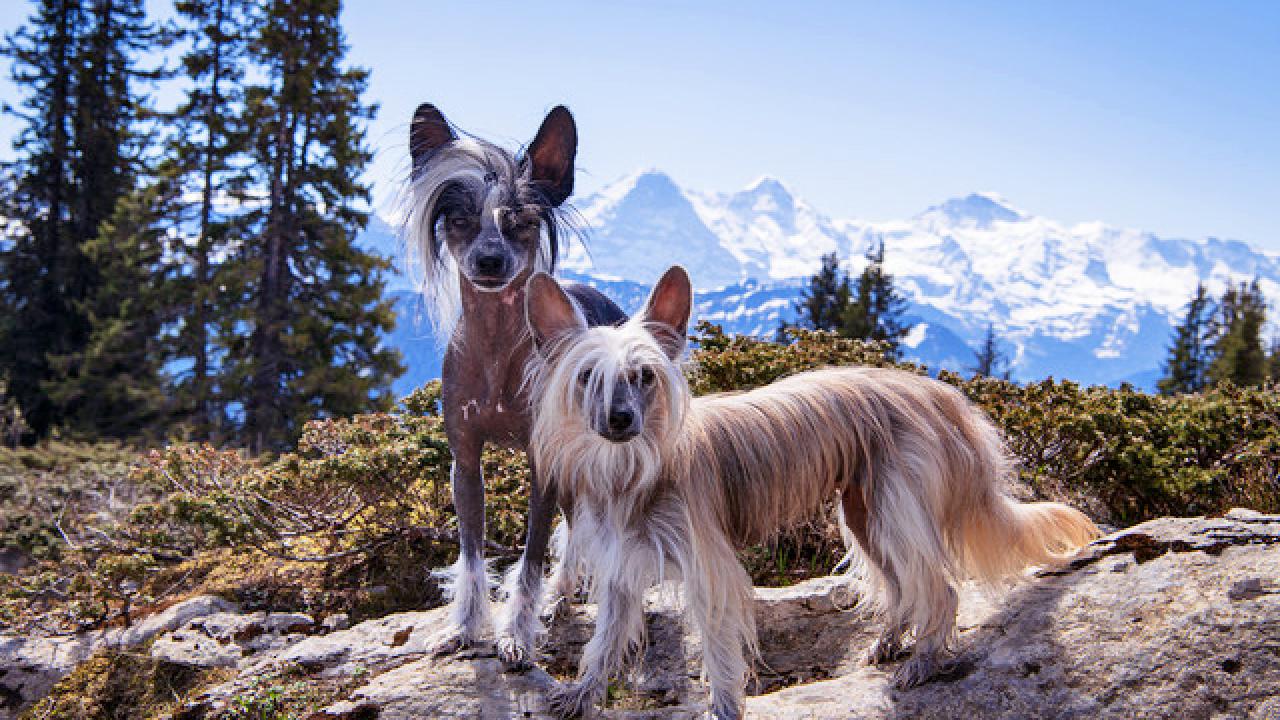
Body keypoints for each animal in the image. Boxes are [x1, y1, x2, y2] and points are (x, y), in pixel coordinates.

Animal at [396, 103, 622, 666]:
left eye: (520, 221)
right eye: (459, 220)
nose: (490, 260)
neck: (497, 345)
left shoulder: (545, 465)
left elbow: (531, 558)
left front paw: (517, 635)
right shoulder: (465, 462)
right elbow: (472, 556)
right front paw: (464, 628)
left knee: (580, 529)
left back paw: (562, 597)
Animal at [519, 266, 1100, 712]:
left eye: (645, 376)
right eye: (587, 377)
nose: (620, 420)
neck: (632, 473)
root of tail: (939, 392)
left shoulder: (710, 572)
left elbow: (719, 653)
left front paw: (724, 708)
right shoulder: (620, 569)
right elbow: (603, 641)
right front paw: (583, 693)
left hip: (894, 508)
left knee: (940, 588)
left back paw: (925, 660)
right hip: (867, 514)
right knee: (900, 584)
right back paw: (891, 641)